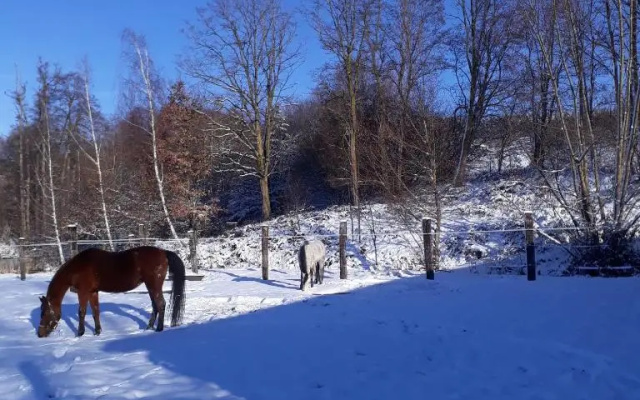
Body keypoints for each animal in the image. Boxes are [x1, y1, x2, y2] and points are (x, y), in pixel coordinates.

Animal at [37, 246, 186, 338]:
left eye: (44, 313)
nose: (40, 334)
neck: (77, 268)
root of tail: (163, 252)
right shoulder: (93, 292)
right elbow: (95, 311)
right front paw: (97, 332)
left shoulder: (83, 292)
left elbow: (82, 312)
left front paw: (80, 333)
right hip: (150, 287)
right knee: (155, 306)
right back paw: (148, 327)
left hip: (154, 286)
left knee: (160, 304)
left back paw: (159, 328)